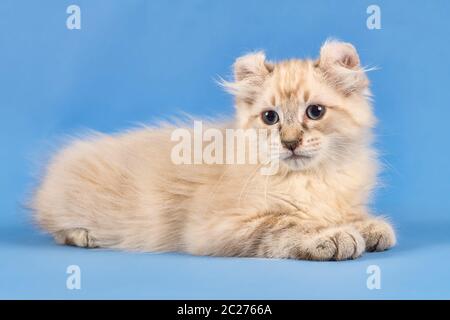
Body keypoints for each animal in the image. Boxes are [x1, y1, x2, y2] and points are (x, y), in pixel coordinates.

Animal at [32, 40, 398, 260]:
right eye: (270, 118)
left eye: (315, 112)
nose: (290, 142)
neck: (313, 179)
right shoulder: (218, 226)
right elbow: (288, 223)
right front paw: (335, 236)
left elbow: (349, 215)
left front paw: (369, 227)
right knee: (57, 229)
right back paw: (83, 235)